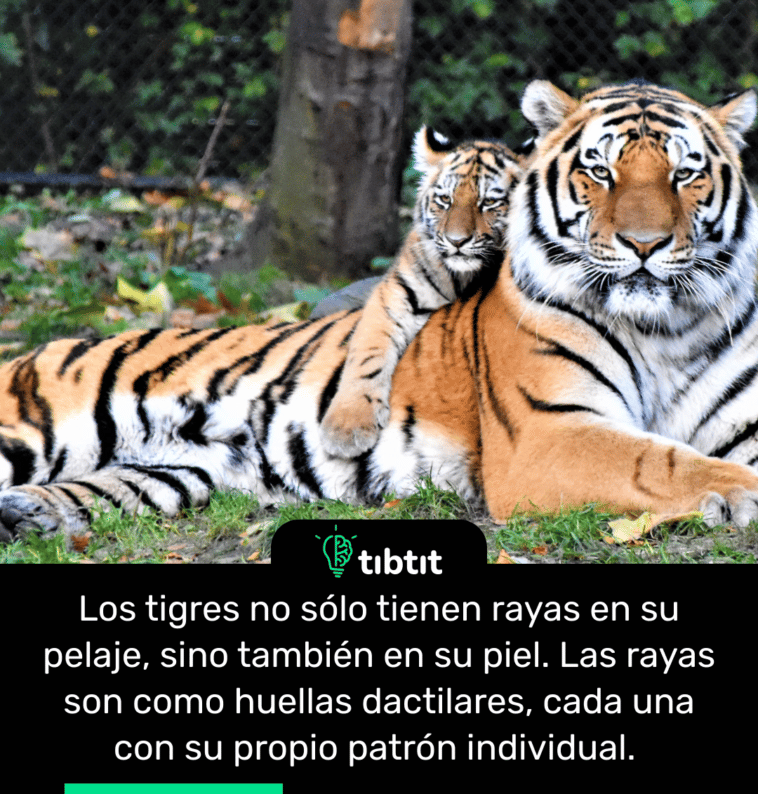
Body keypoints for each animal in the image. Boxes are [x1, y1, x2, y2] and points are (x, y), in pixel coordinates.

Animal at [319, 126, 525, 458]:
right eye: (444, 199)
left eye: (489, 203)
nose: (457, 241)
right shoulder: (395, 295)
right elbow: (367, 353)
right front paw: (346, 428)